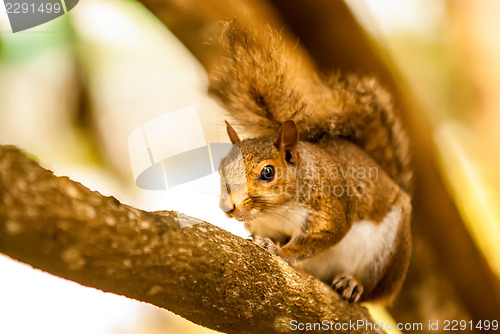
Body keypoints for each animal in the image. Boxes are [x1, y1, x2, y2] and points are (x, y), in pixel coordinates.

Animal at [209, 19, 412, 304]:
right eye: (221, 168)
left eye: (268, 172)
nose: (228, 207)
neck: (276, 212)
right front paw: (265, 241)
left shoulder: (331, 208)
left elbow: (317, 239)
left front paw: (280, 251)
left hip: (390, 251)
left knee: (373, 293)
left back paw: (355, 284)